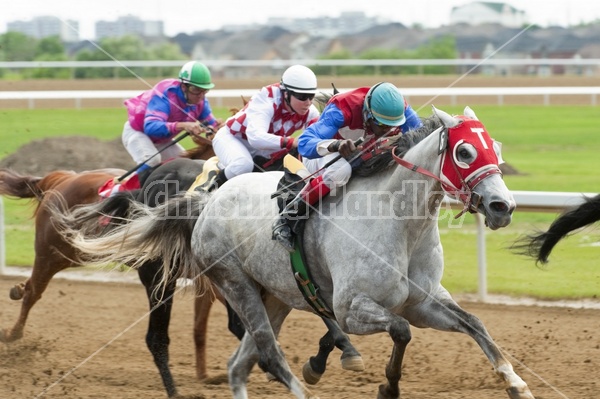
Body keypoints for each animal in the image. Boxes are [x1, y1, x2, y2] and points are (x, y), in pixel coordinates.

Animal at [57, 106, 536, 399]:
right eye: (465, 150)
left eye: (496, 148)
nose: (503, 207)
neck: (401, 224)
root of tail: (206, 202)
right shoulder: (351, 308)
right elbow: (399, 331)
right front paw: (386, 385)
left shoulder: (423, 301)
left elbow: (474, 324)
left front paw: (516, 382)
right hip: (235, 283)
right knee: (267, 353)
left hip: (276, 297)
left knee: (239, 363)